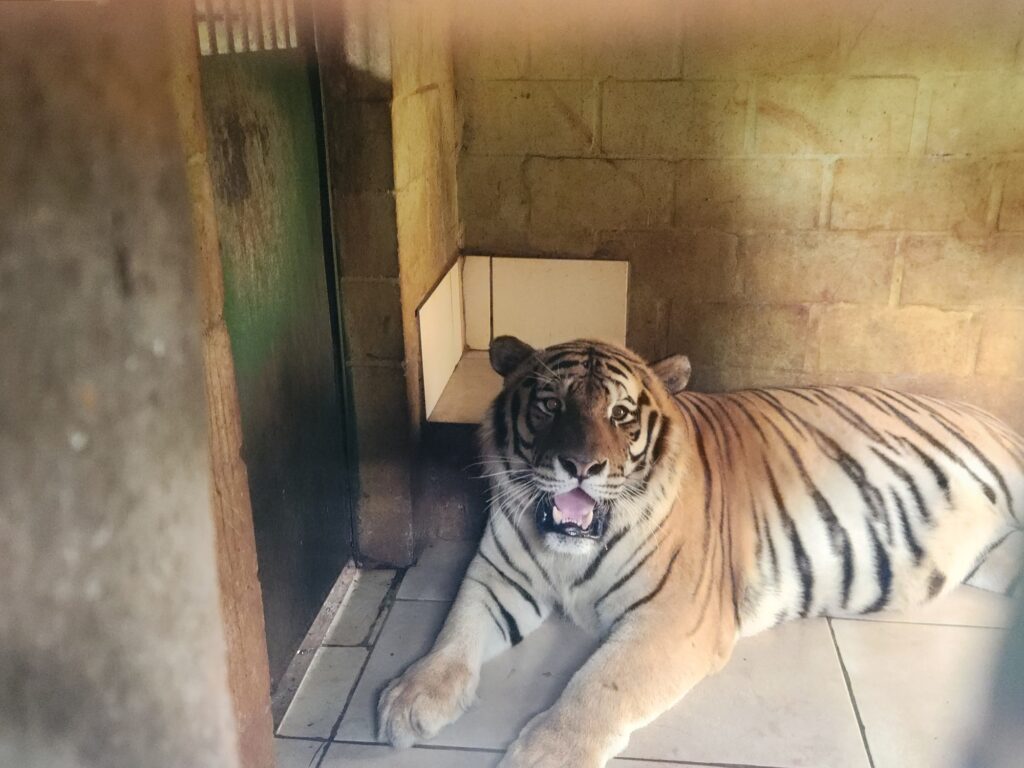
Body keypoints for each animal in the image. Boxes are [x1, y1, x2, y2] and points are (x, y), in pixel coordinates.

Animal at [378, 335, 1024, 768]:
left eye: (620, 414)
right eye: (549, 405)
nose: (581, 467)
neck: (567, 552)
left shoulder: (675, 618)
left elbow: (598, 687)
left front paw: (545, 756)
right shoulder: (496, 575)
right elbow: (454, 632)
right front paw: (411, 698)